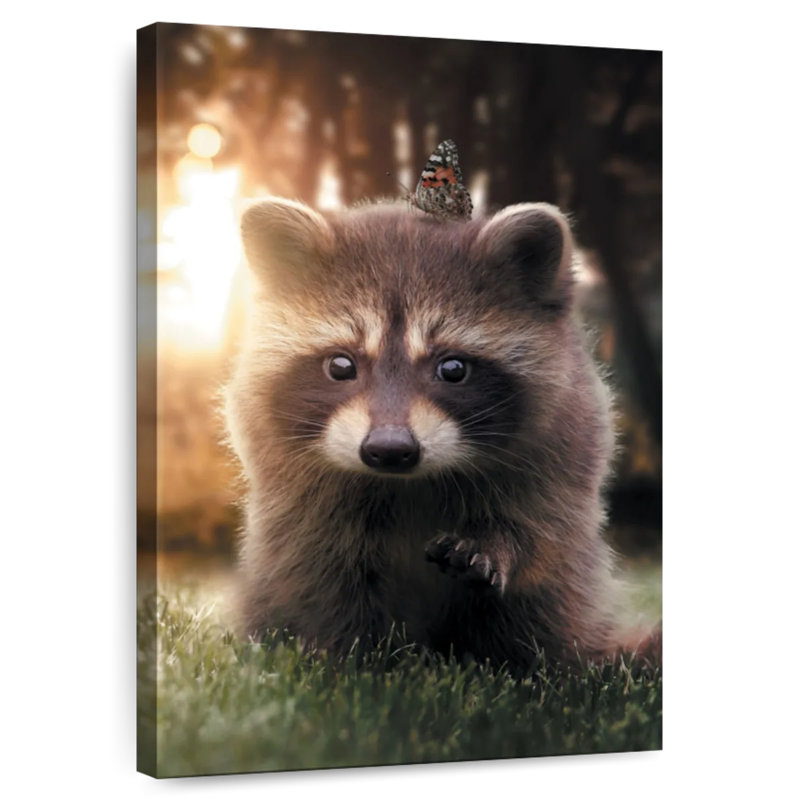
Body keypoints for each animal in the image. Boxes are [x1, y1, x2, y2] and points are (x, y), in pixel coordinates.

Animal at [225, 196, 631, 670]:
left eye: (452, 368)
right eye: (341, 365)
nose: (389, 449)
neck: (407, 483)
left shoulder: (564, 444)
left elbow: (541, 525)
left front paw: (496, 544)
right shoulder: (294, 493)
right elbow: (318, 567)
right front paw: (347, 656)